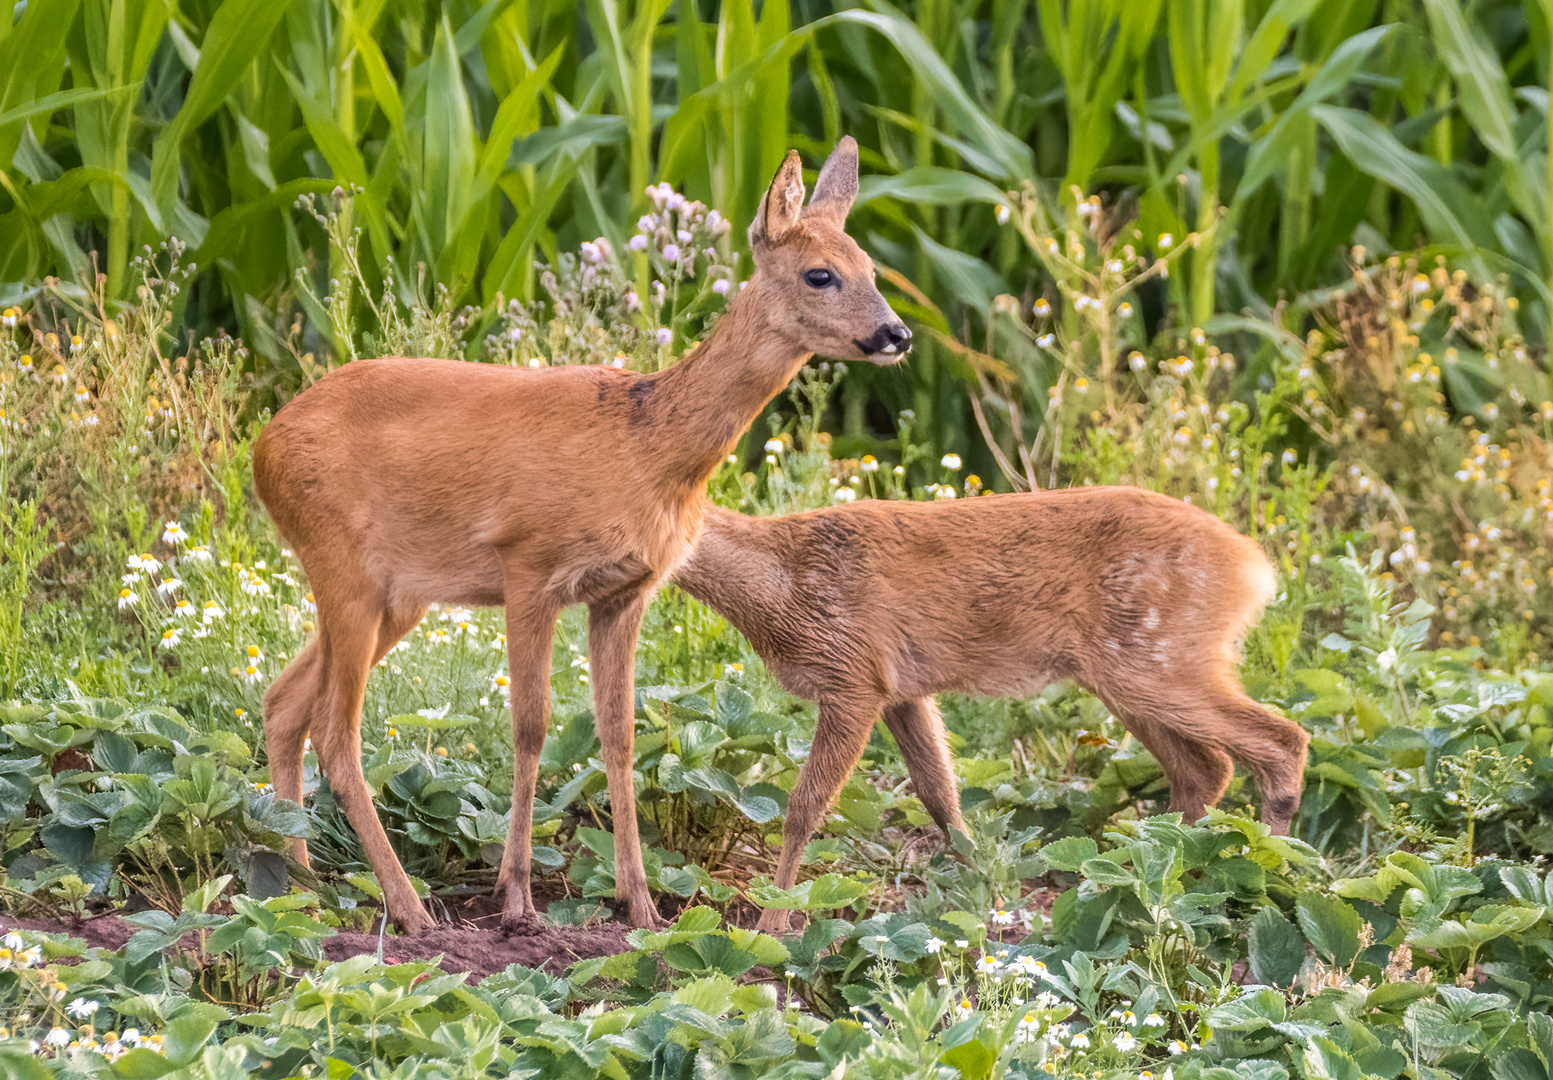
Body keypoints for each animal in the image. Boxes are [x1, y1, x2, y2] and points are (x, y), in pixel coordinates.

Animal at [253, 137, 906, 932]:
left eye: (871, 266)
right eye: (820, 273)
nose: (897, 334)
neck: (647, 451)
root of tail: (263, 447)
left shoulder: (624, 592)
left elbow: (618, 735)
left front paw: (642, 904)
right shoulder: (528, 566)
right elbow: (530, 727)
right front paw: (516, 897)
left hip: (396, 592)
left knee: (285, 702)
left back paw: (299, 883)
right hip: (342, 563)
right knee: (336, 731)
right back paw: (408, 909)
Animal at [670, 491, 1310, 932]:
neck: (779, 586)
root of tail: (1255, 568)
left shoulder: (852, 677)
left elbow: (803, 808)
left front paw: (772, 923)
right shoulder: (902, 689)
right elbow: (940, 793)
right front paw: (990, 901)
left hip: (1155, 660)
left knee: (1284, 740)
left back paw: (1262, 880)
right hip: (1128, 674)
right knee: (1206, 768)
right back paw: (1163, 880)